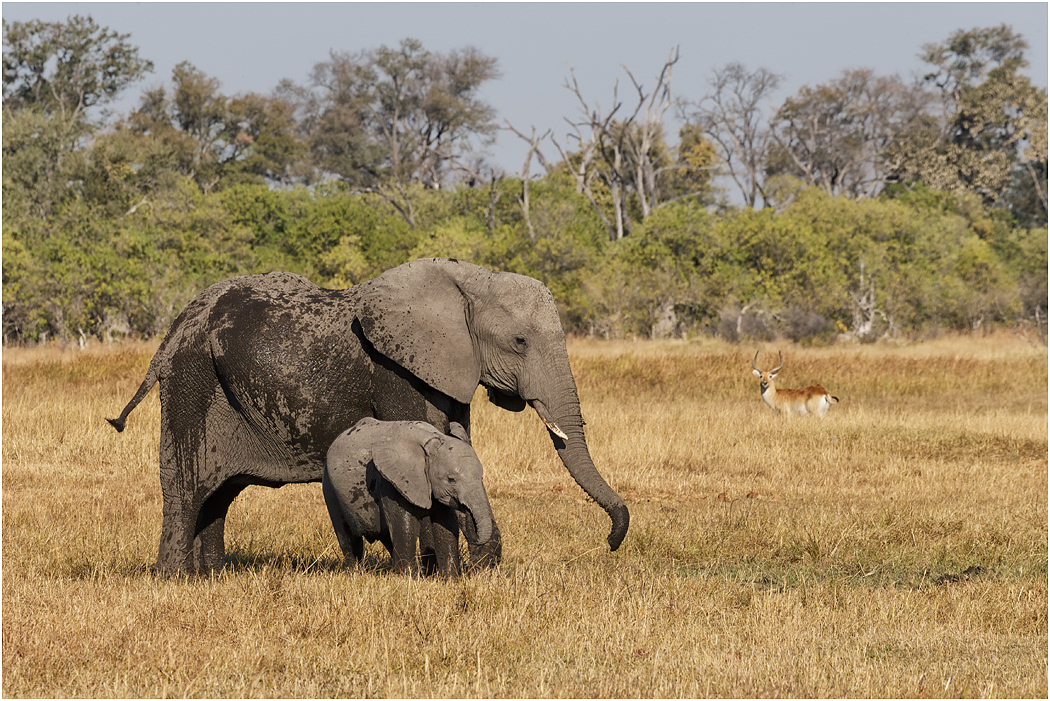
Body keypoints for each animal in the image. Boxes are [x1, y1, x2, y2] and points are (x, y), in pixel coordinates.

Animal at [323, 418, 492, 576]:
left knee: (387, 537)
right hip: (330, 487)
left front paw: (451, 580)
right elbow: (405, 526)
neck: (432, 439)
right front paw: (410, 578)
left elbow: (447, 525)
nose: (467, 513)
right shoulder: (391, 482)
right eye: (451, 479)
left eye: (481, 477)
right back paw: (352, 573)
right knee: (348, 537)